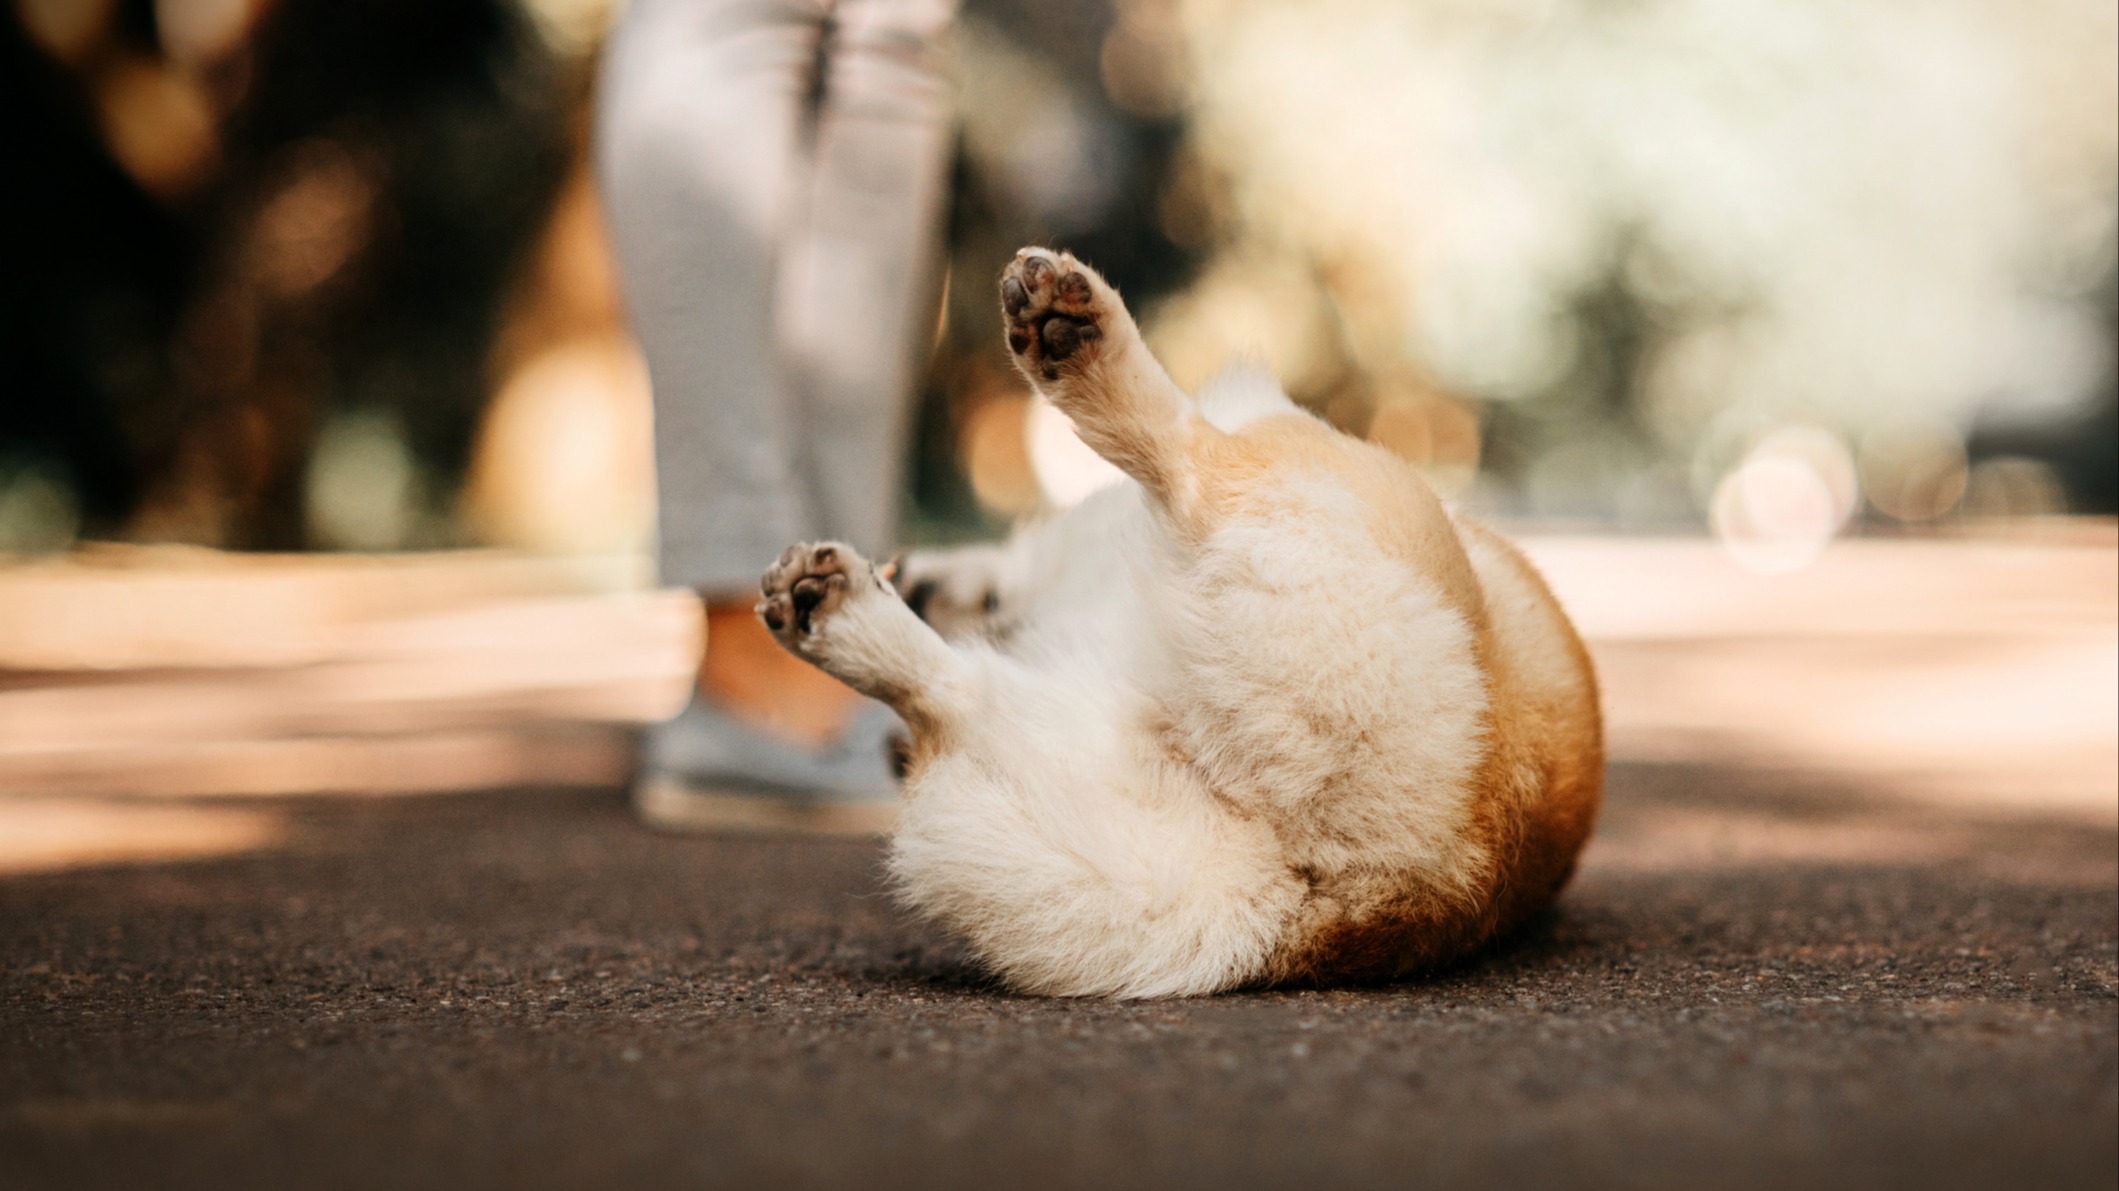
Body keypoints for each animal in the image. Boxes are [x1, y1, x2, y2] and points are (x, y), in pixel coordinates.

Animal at [762, 247, 1601, 991]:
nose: (917, 577)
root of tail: (1381, 887)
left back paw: (1074, 332)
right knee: (958, 696)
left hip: (1296, 455)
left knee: (1183, 457)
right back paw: (835, 616)